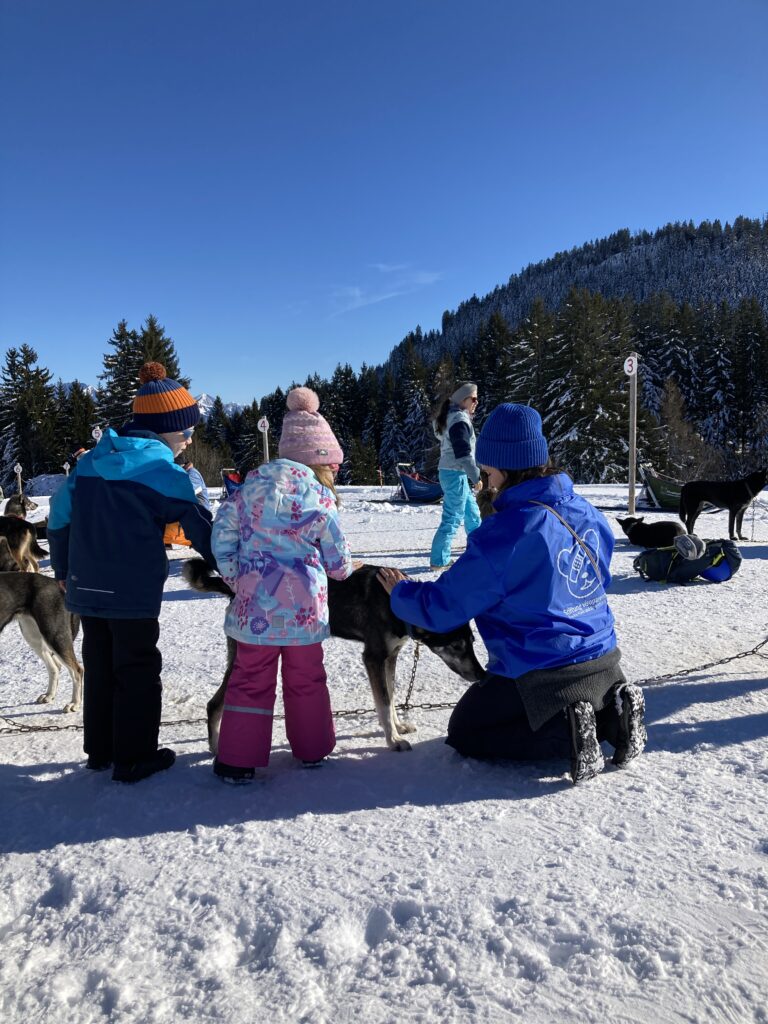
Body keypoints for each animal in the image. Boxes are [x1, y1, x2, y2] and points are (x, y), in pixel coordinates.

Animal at [182, 561, 483, 753]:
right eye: (457, 646)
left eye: (472, 642)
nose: (482, 675)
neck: (394, 600)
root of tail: (236, 589)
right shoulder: (373, 658)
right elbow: (384, 702)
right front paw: (393, 740)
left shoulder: (390, 657)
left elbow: (392, 697)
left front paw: (398, 726)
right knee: (214, 704)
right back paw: (217, 749)